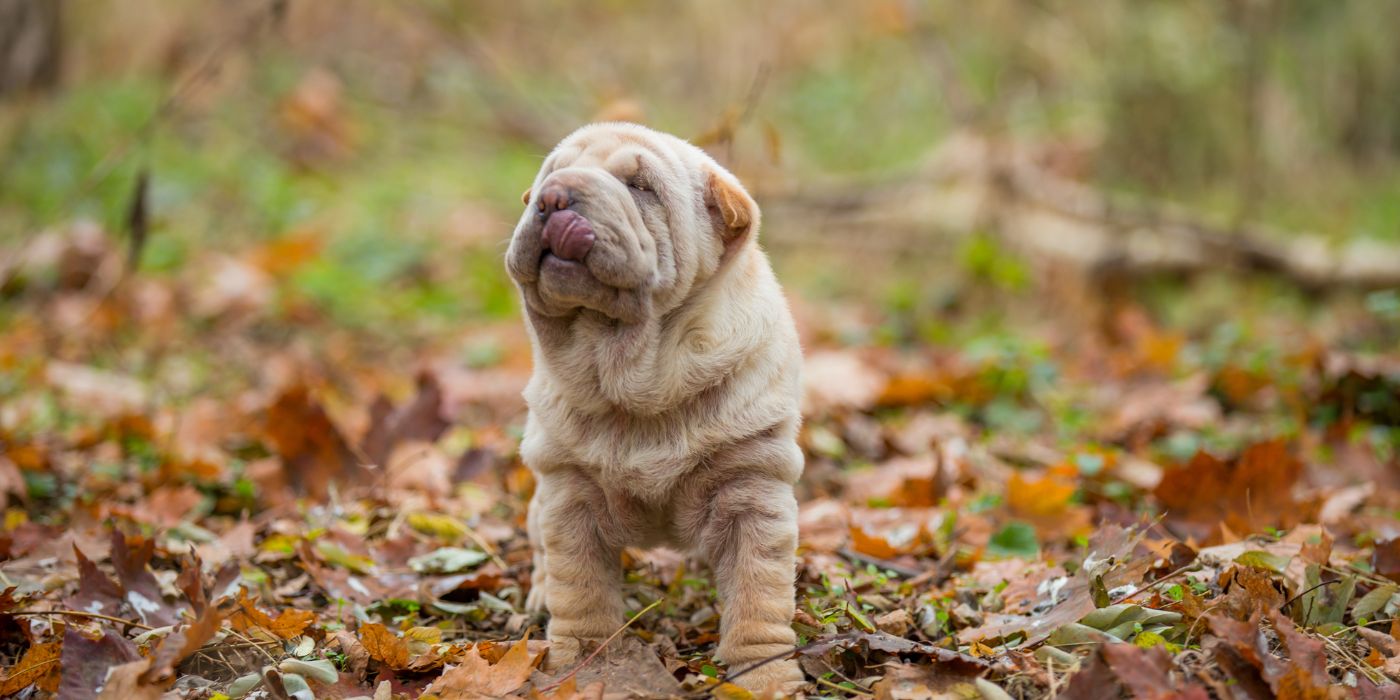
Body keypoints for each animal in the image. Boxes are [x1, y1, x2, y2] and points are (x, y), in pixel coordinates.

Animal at [509, 123, 806, 691]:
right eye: (551, 174)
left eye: (640, 187)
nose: (553, 196)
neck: (635, 383)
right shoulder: (569, 496)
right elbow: (580, 590)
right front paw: (586, 662)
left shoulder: (752, 488)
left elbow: (758, 591)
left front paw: (764, 677)